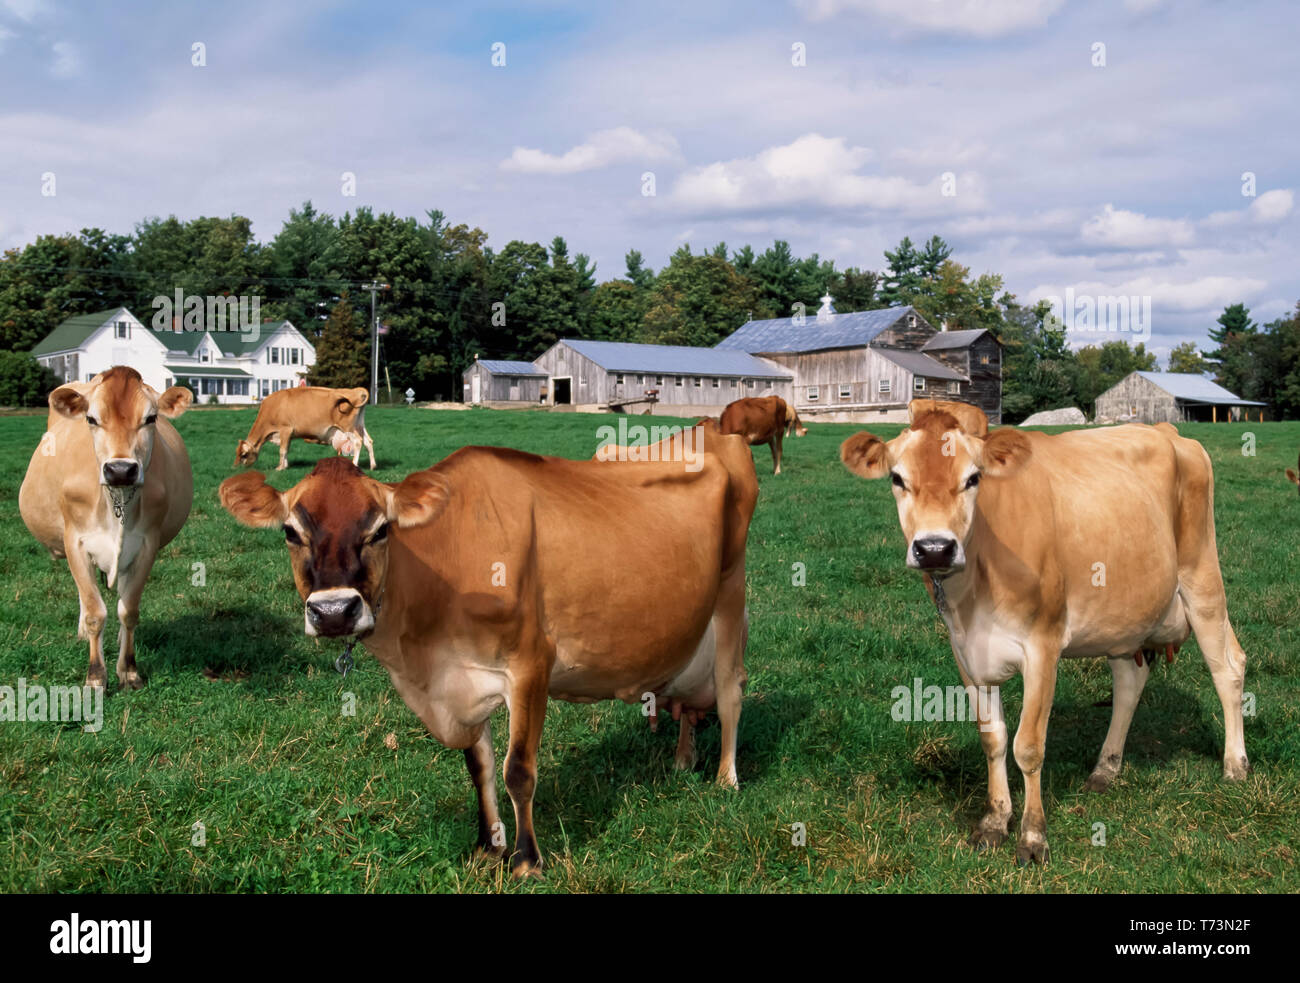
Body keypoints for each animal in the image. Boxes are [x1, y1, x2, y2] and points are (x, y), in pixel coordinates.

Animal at [20, 367, 194, 690]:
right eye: (91, 419)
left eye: (151, 418)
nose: (121, 470)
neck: (117, 501)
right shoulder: (75, 542)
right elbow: (94, 612)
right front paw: (96, 675)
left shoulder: (147, 544)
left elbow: (129, 609)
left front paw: (129, 670)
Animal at [219, 435, 757, 877]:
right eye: (291, 532)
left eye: (380, 530)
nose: (334, 611)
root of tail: (716, 434)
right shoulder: (462, 685)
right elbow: (479, 767)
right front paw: (488, 846)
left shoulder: (531, 664)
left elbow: (518, 771)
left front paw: (526, 860)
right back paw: (683, 760)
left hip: (731, 592)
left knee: (731, 692)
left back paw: (725, 779)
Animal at [234, 386, 375, 471]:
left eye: (244, 455)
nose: (235, 467)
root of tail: (355, 390)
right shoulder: (289, 434)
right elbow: (286, 450)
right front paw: (285, 466)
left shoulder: (285, 429)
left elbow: (282, 450)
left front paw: (279, 468)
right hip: (359, 425)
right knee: (368, 441)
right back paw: (372, 466)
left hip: (348, 427)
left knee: (358, 442)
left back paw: (354, 464)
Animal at [839, 405, 1249, 865]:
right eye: (897, 478)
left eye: (973, 477)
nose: (934, 549)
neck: (977, 580)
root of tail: (1167, 430)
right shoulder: (965, 652)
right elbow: (993, 739)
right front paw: (995, 821)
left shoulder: (1042, 646)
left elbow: (1028, 746)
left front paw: (1033, 836)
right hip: (1124, 617)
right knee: (1130, 682)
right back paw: (1105, 768)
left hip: (1202, 575)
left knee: (1229, 666)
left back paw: (1235, 765)